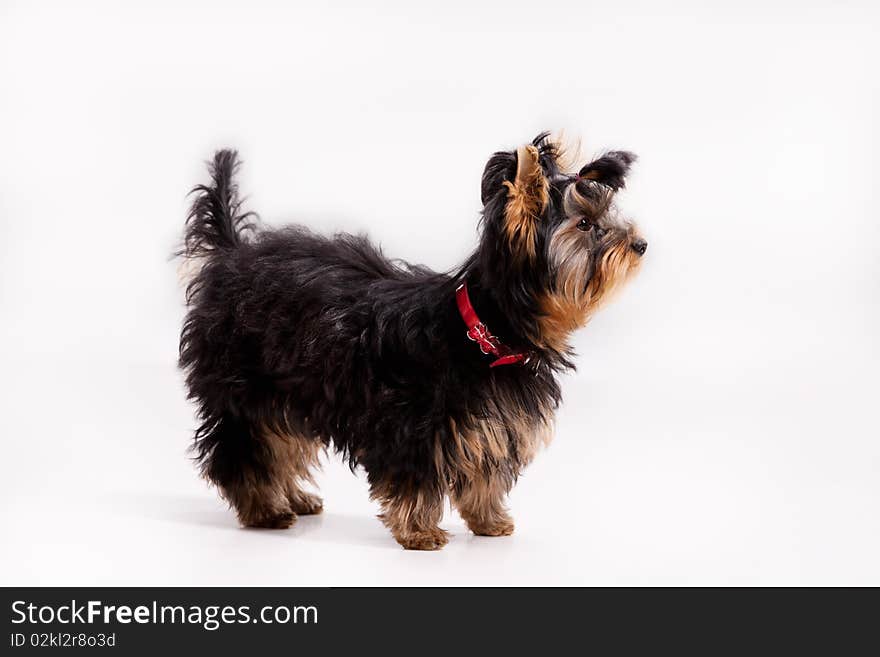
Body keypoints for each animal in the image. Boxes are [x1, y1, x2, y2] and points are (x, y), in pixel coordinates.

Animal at [177, 133, 648, 548]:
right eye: (585, 224)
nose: (640, 243)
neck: (483, 332)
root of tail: (232, 254)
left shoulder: (491, 420)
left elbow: (486, 473)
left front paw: (489, 521)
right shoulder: (415, 424)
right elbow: (416, 478)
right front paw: (420, 532)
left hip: (291, 386)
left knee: (285, 440)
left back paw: (294, 497)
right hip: (245, 383)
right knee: (246, 447)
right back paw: (264, 509)